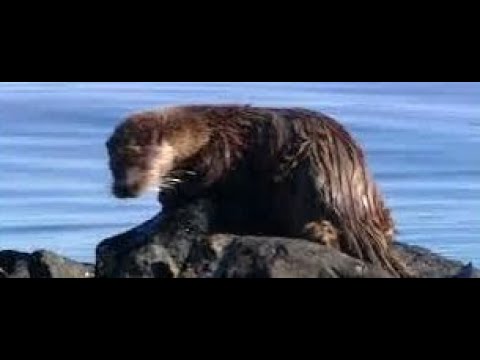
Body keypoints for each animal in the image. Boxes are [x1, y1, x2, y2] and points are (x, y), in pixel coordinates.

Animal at [107, 105, 410, 278]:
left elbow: (208, 177)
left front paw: (169, 193)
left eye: (142, 164)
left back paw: (316, 232)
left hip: (305, 175)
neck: (204, 131)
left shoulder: (221, 150)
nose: (124, 188)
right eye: (114, 164)